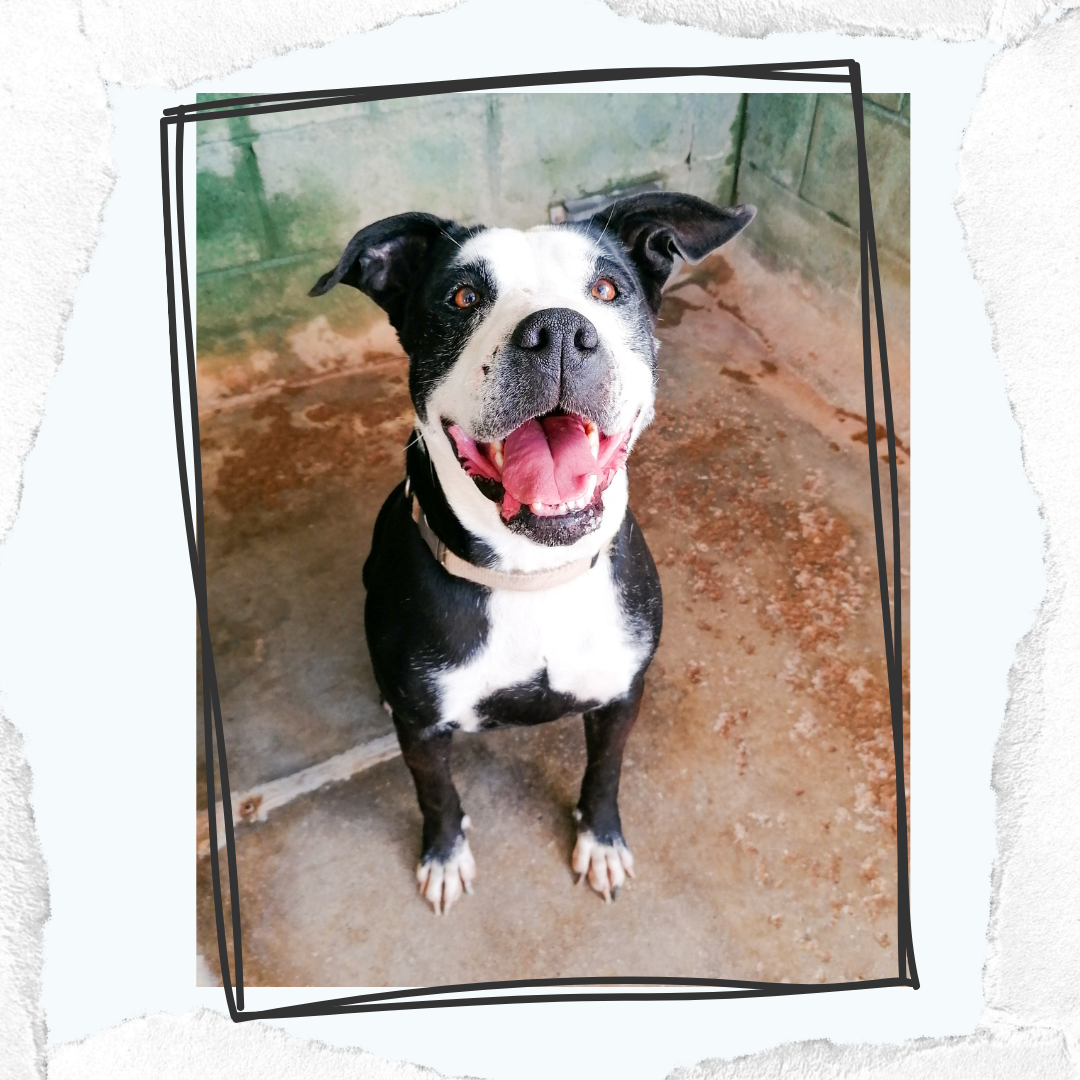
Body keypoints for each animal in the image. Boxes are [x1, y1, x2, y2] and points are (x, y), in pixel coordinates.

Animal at [311, 192, 755, 913]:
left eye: (607, 290)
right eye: (463, 297)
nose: (557, 332)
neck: (532, 575)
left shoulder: (620, 696)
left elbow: (604, 774)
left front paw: (601, 842)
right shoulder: (423, 729)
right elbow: (437, 794)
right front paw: (444, 856)